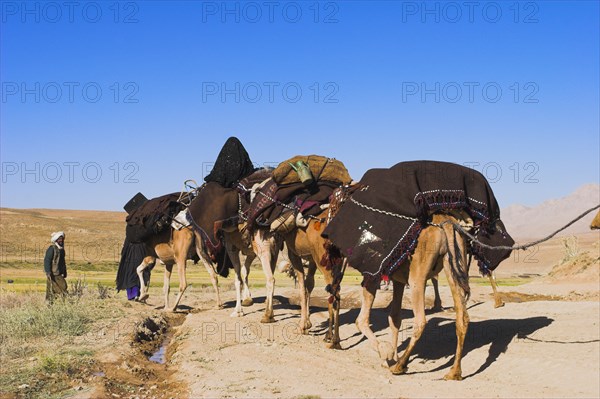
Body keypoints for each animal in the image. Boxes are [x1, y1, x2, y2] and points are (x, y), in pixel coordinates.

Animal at [356, 216, 474, 382]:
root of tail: (446, 223)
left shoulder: (372, 273)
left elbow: (361, 320)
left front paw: (385, 354)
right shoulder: (398, 279)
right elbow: (394, 318)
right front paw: (392, 356)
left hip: (417, 277)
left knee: (420, 320)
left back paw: (400, 366)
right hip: (454, 264)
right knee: (462, 318)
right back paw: (454, 373)